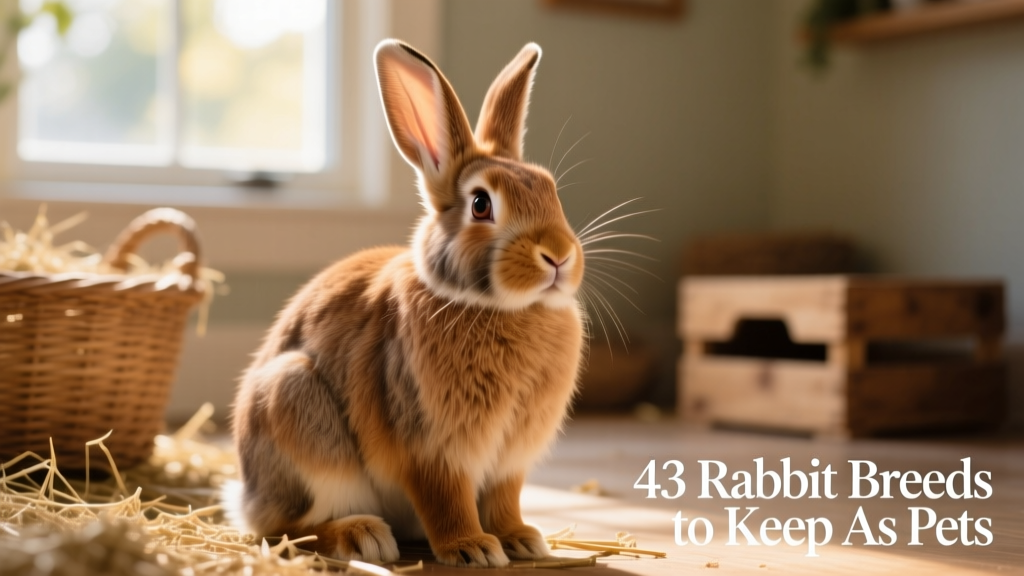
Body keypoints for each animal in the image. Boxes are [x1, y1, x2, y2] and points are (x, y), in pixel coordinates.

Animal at [229, 39, 585, 568]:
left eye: (550, 189)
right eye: (481, 204)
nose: (559, 256)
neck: (497, 307)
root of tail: (245, 497)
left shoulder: (509, 462)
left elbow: (506, 500)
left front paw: (521, 539)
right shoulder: (431, 448)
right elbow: (446, 499)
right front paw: (472, 548)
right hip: (295, 410)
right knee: (287, 530)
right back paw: (362, 537)